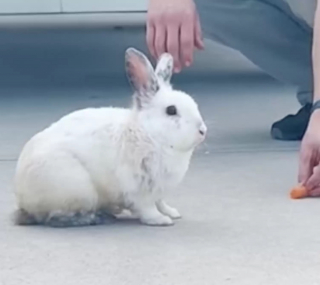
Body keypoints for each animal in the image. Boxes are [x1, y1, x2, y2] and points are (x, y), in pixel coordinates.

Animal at [13, 47, 208, 227]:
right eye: (171, 110)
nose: (202, 130)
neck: (149, 134)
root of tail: (23, 199)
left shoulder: (158, 190)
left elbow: (161, 203)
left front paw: (172, 212)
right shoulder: (139, 190)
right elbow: (147, 208)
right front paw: (161, 220)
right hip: (77, 191)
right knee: (55, 218)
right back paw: (97, 217)